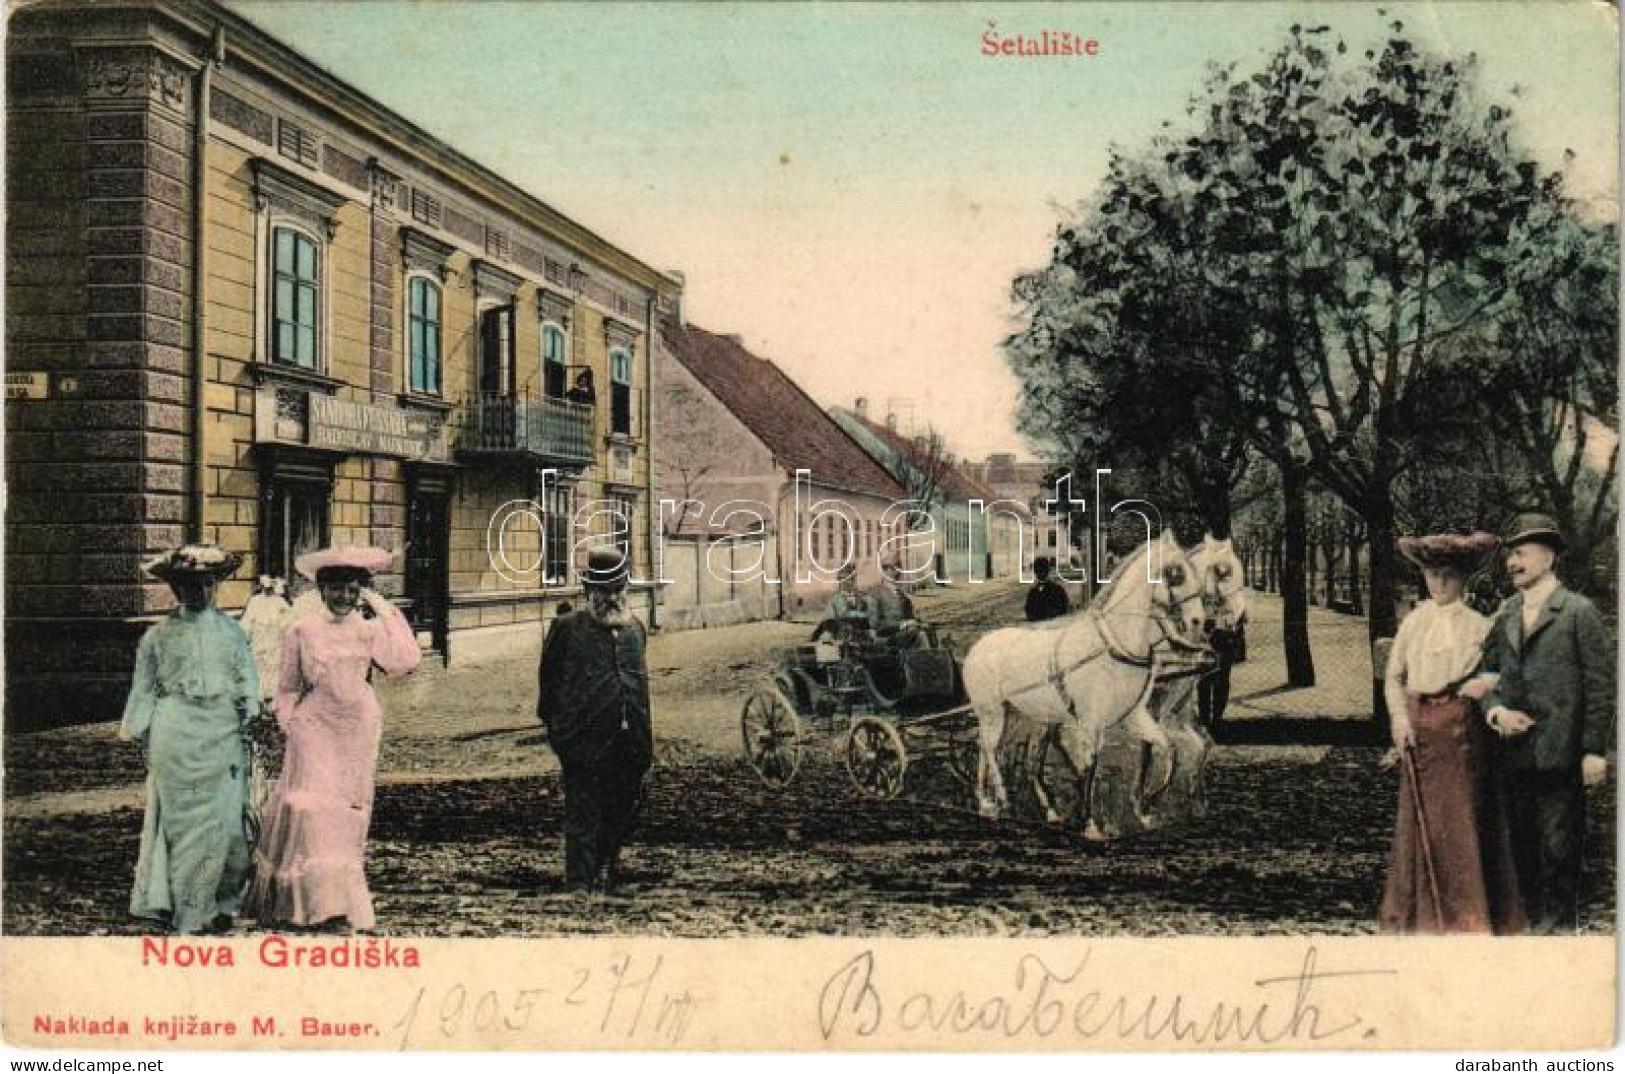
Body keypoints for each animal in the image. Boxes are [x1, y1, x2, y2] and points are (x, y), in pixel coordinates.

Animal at [962, 529, 1209, 828]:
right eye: (1175, 573)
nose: (1198, 621)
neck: (1113, 646)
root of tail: (978, 647)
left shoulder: (1134, 716)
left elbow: (1169, 749)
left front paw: (1146, 806)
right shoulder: (1092, 723)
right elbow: (1090, 764)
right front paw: (1089, 821)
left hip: (1025, 715)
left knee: (1003, 752)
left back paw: (995, 802)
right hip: (993, 712)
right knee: (989, 748)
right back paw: (999, 799)